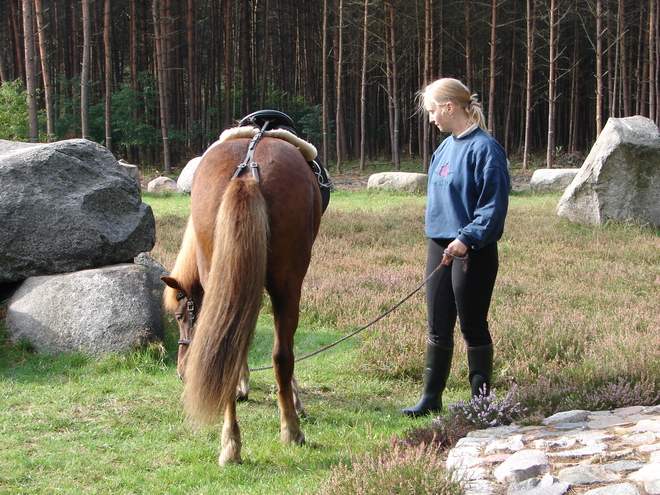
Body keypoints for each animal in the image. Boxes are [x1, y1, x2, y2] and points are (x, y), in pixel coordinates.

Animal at [162, 136, 322, 464]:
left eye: (181, 316)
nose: (183, 372)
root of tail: (248, 170)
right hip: (289, 284)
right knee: (282, 354)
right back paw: (291, 430)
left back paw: (230, 445)